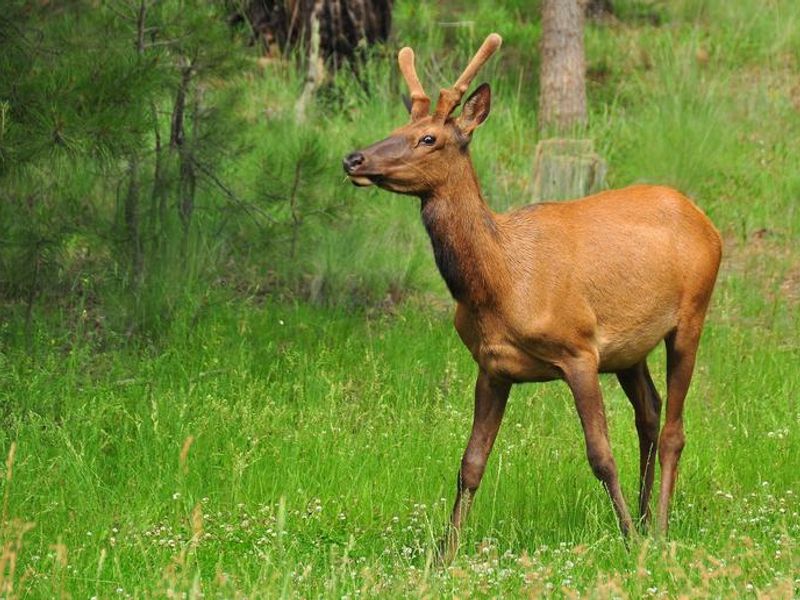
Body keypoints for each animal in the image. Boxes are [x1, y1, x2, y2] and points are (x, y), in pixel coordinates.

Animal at [342, 33, 722, 558]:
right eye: (399, 126)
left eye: (429, 138)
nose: (353, 159)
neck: (501, 283)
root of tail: (705, 221)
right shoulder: (492, 365)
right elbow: (470, 463)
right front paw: (444, 554)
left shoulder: (579, 349)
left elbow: (600, 456)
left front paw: (626, 539)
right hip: (629, 349)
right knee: (649, 410)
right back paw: (647, 518)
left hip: (692, 314)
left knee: (673, 430)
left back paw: (657, 528)